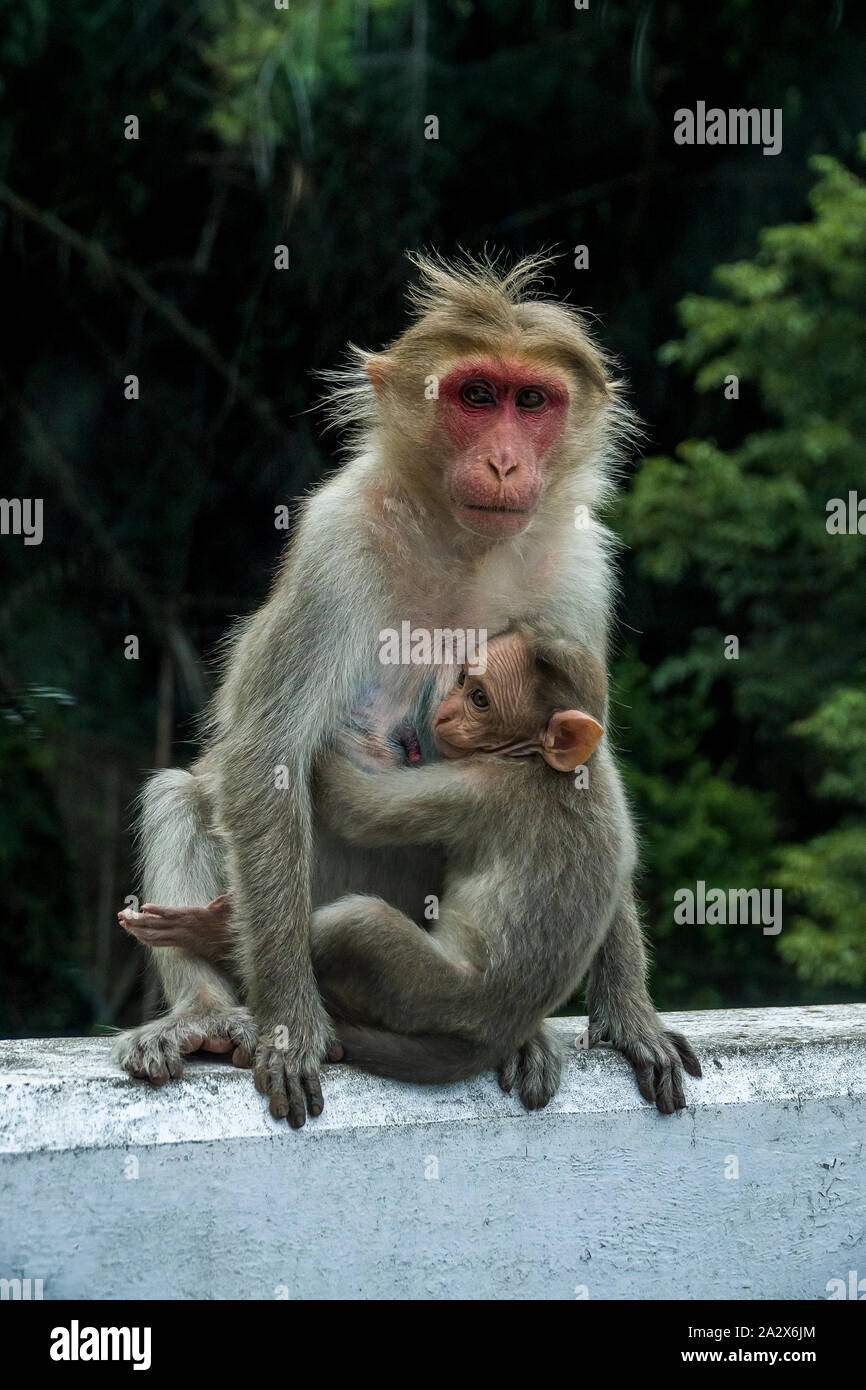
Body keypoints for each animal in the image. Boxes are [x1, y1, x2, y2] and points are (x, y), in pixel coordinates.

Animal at [122, 631, 700, 1117]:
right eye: (464, 681)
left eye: (480, 698)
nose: (443, 711)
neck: (547, 764)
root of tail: (496, 1030)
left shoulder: (475, 786)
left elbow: (358, 809)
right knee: (176, 796)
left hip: (431, 993)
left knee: (359, 926)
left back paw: (212, 934)